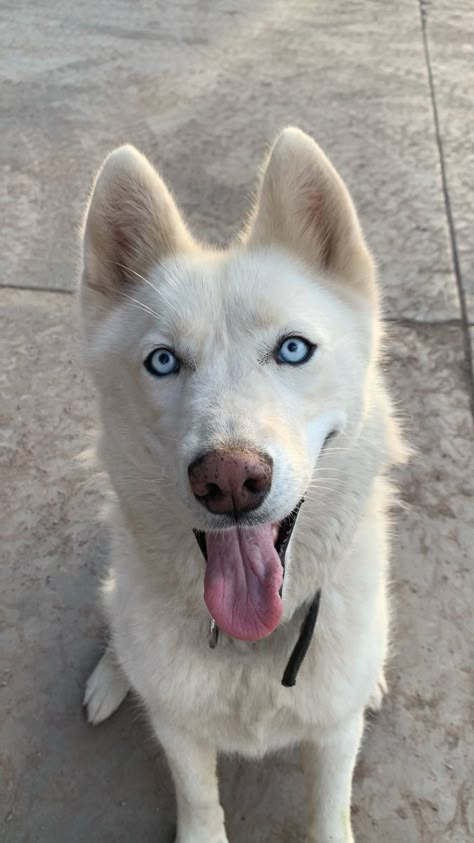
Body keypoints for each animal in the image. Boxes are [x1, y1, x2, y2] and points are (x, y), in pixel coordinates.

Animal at [79, 127, 406, 843]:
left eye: (292, 350)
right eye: (163, 361)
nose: (229, 480)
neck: (250, 644)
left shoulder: (334, 738)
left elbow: (329, 810)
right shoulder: (179, 732)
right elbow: (200, 801)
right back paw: (112, 678)